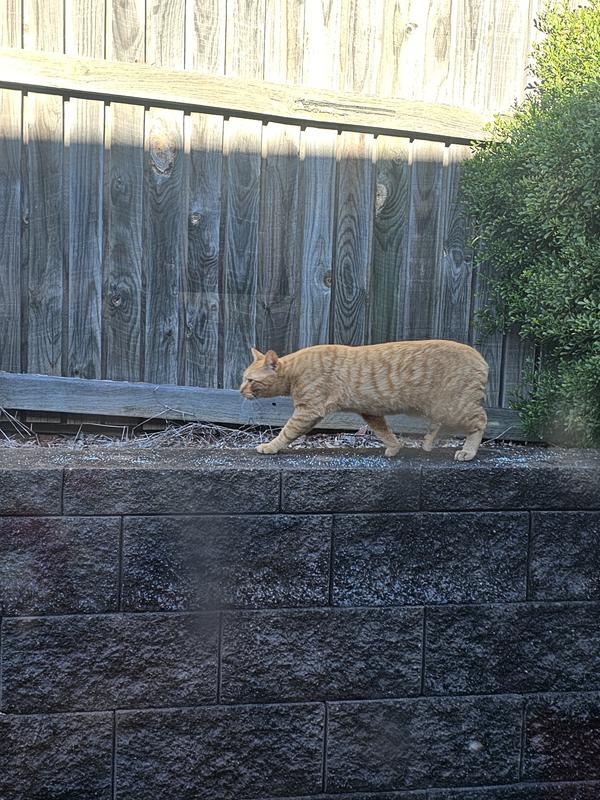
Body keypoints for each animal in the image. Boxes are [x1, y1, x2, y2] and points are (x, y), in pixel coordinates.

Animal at [239, 340, 488, 462]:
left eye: (250, 380)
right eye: (243, 378)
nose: (240, 390)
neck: (295, 370)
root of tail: (482, 358)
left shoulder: (307, 411)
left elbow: (286, 432)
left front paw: (270, 446)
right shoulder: (370, 411)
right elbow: (384, 432)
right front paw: (394, 447)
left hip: (454, 406)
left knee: (481, 420)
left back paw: (468, 452)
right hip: (440, 408)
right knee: (440, 424)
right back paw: (427, 442)